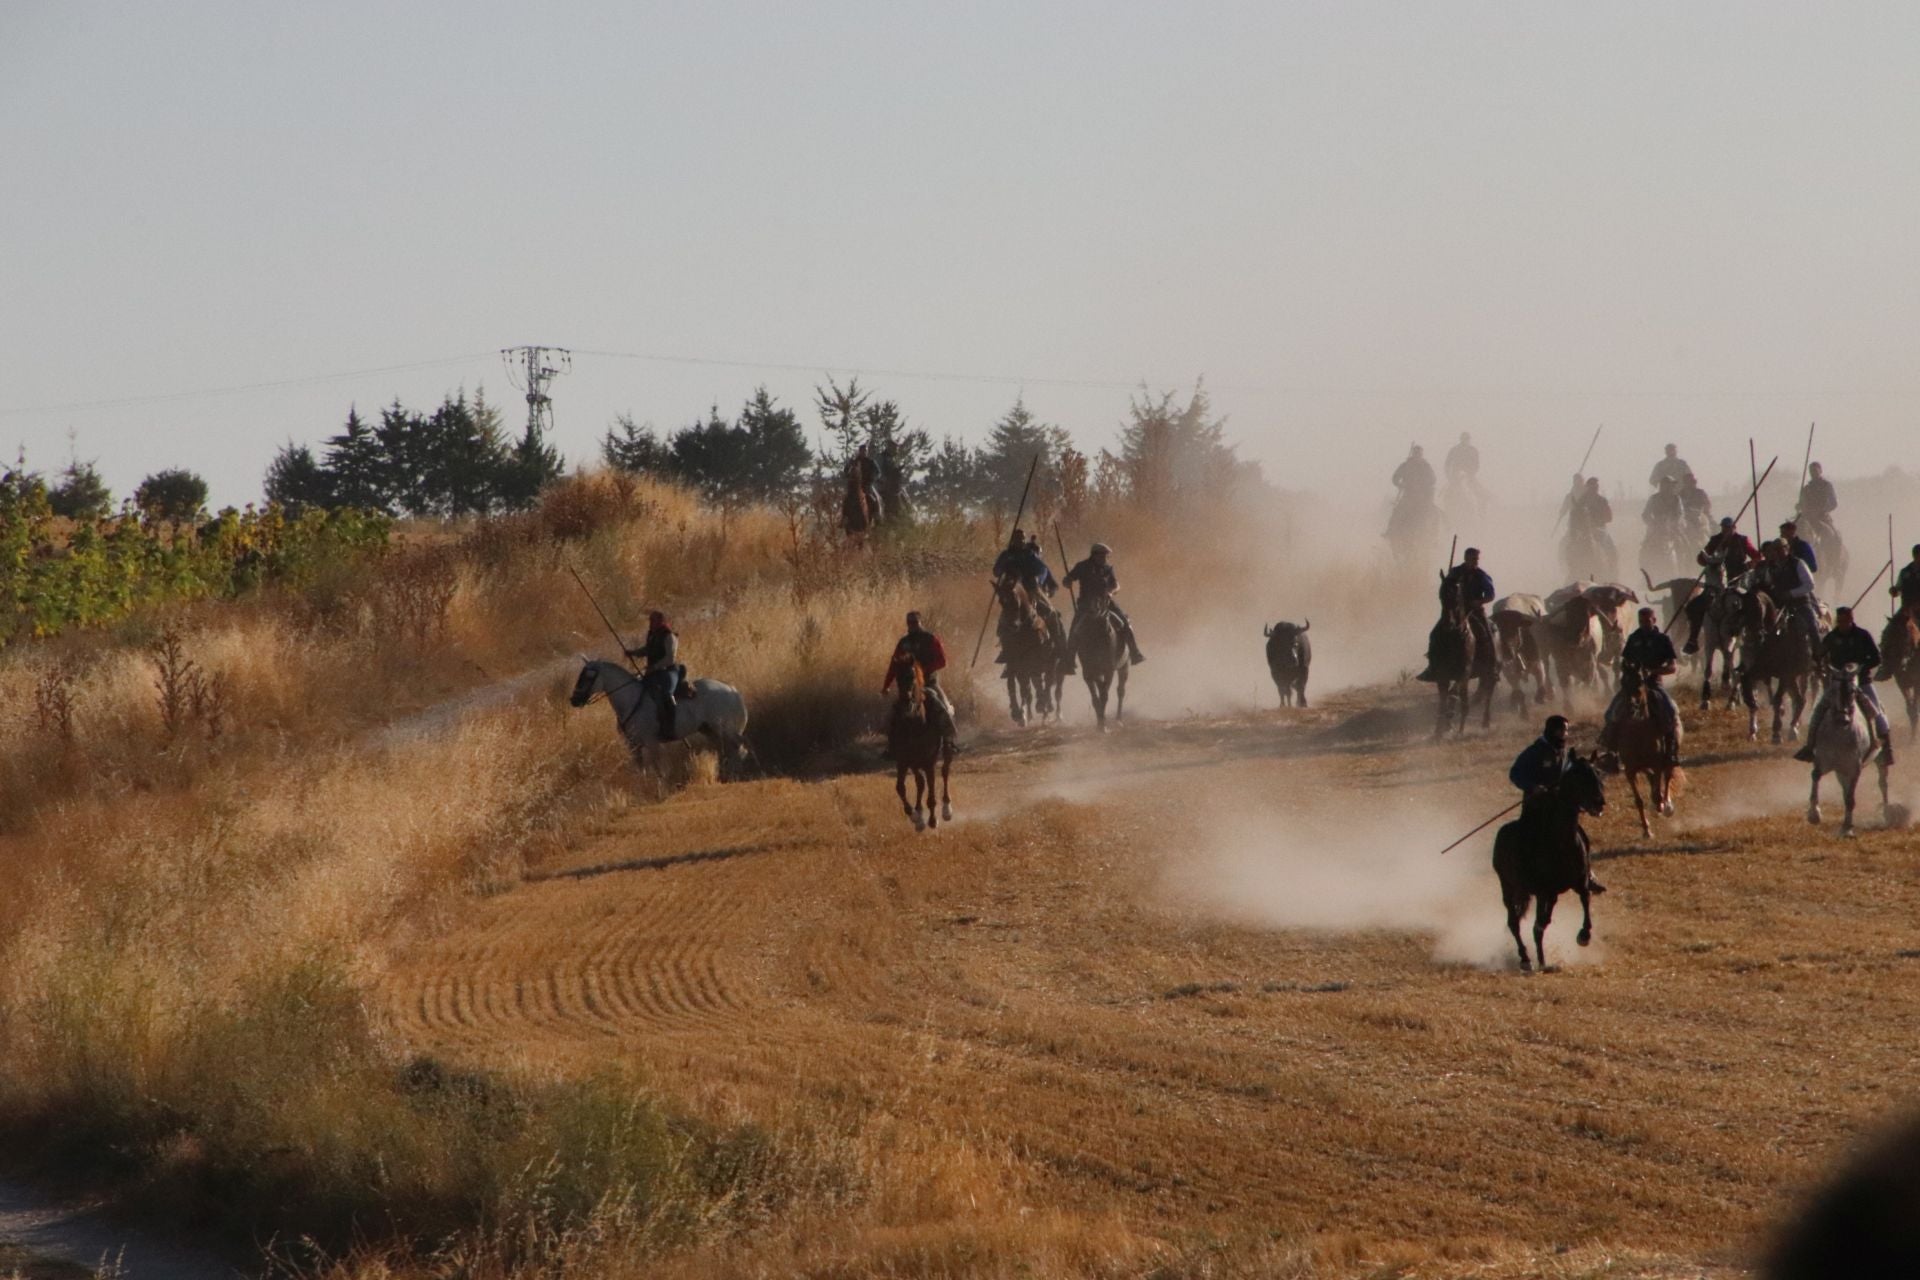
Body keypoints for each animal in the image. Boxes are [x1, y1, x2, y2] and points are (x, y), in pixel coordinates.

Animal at [564, 660, 744, 771]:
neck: (630, 700)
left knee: (737, 746)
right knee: (725, 747)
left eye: (588, 676)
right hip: (708, 729)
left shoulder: (652, 743)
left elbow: (658, 769)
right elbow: (641, 770)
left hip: (723, 727)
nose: (574, 700)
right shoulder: (633, 746)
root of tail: (730, 688)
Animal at [1743, 594, 1812, 744]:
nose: (1756, 635)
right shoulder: (1759, 671)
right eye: (1744, 608)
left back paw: (1792, 729)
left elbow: (1778, 699)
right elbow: (1747, 685)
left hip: (1800, 674)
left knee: (1800, 700)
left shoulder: (1785, 675)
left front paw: (1776, 732)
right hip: (1793, 678)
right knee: (1798, 699)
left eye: (1759, 608)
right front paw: (1752, 730)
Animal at [1797, 667, 1889, 836]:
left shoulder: (1854, 768)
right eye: (1833, 690)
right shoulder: (1822, 760)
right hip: (1840, 770)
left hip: (1880, 759)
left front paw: (1847, 828)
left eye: (1853, 691)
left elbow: (1850, 798)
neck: (1840, 733)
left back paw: (1886, 811)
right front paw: (1814, 814)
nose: (1843, 719)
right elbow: (1815, 776)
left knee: (1883, 782)